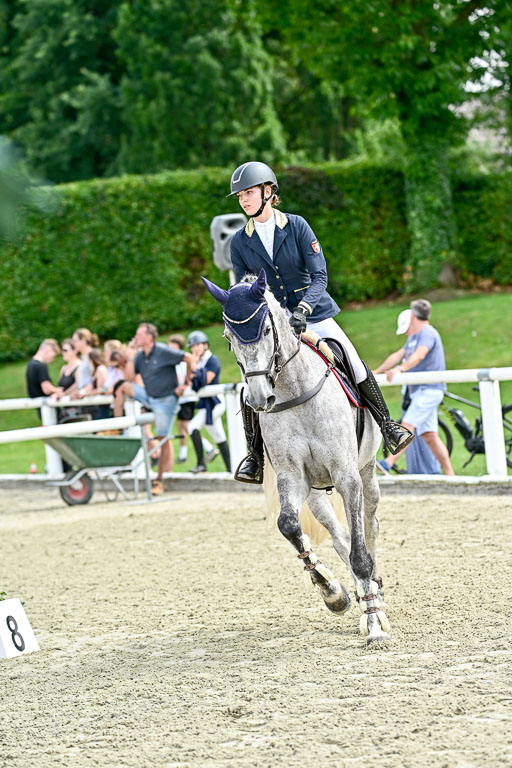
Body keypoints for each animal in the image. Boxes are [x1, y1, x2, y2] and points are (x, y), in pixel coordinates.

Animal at [202, 269, 391, 645]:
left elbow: (361, 552)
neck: (295, 391)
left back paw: (374, 590)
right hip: (317, 491)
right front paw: (333, 593)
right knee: (339, 536)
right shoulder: (293, 478)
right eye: (228, 338)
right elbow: (289, 527)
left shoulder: (346, 475)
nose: (260, 398)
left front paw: (374, 623)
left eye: (266, 330)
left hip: (366, 472)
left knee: (369, 527)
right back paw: (358, 591)